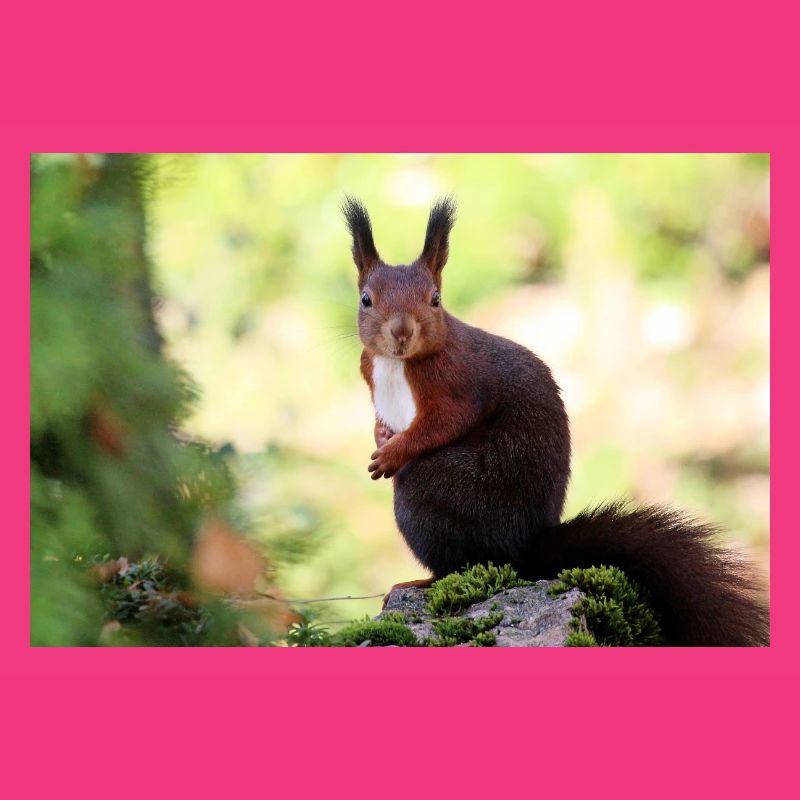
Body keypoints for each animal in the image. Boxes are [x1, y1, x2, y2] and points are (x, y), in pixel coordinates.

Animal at [343, 196, 769, 646]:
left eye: (435, 299)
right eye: (366, 299)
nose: (401, 332)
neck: (398, 363)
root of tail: (523, 548)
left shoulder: (458, 382)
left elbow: (445, 422)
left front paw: (393, 453)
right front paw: (381, 437)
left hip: (431, 494)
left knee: (462, 560)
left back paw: (420, 581)